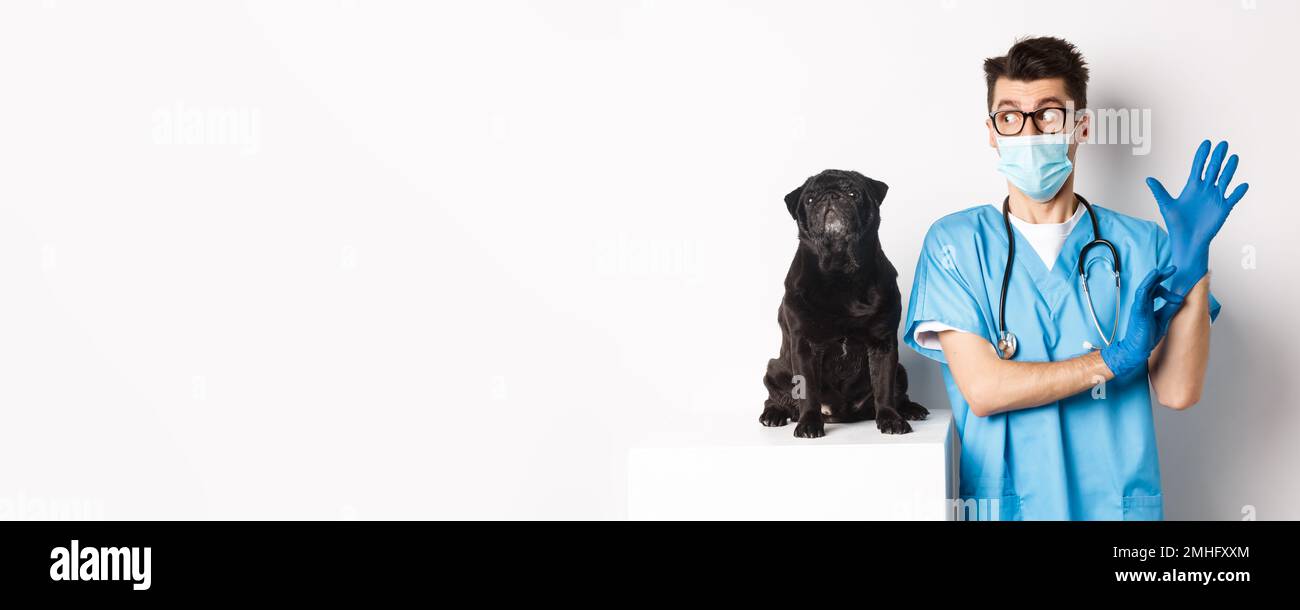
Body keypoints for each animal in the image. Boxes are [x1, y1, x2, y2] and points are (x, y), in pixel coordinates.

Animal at [759, 169, 930, 434]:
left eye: (853, 193)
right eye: (809, 199)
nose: (831, 196)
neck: (840, 272)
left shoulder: (882, 343)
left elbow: (884, 386)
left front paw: (890, 418)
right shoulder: (805, 346)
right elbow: (808, 390)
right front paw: (809, 423)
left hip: (901, 371)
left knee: (897, 392)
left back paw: (910, 409)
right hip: (774, 370)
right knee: (776, 397)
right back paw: (774, 414)